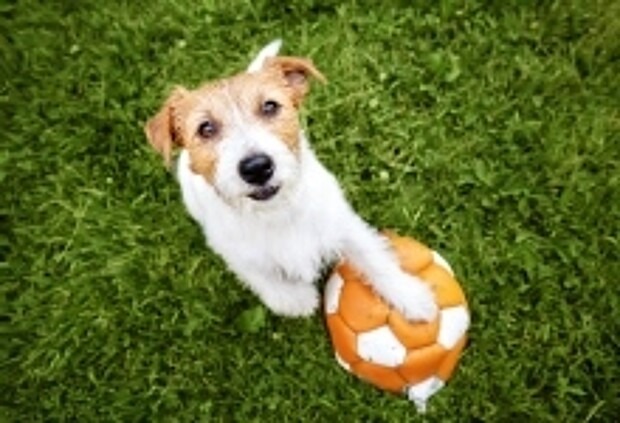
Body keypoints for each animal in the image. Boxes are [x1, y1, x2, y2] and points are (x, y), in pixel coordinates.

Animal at [145, 41, 436, 322]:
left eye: (270, 106)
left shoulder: (343, 224)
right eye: (205, 128)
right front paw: (295, 299)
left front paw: (410, 296)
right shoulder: (237, 254)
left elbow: (373, 257)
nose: (256, 168)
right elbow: (262, 276)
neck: (276, 211)